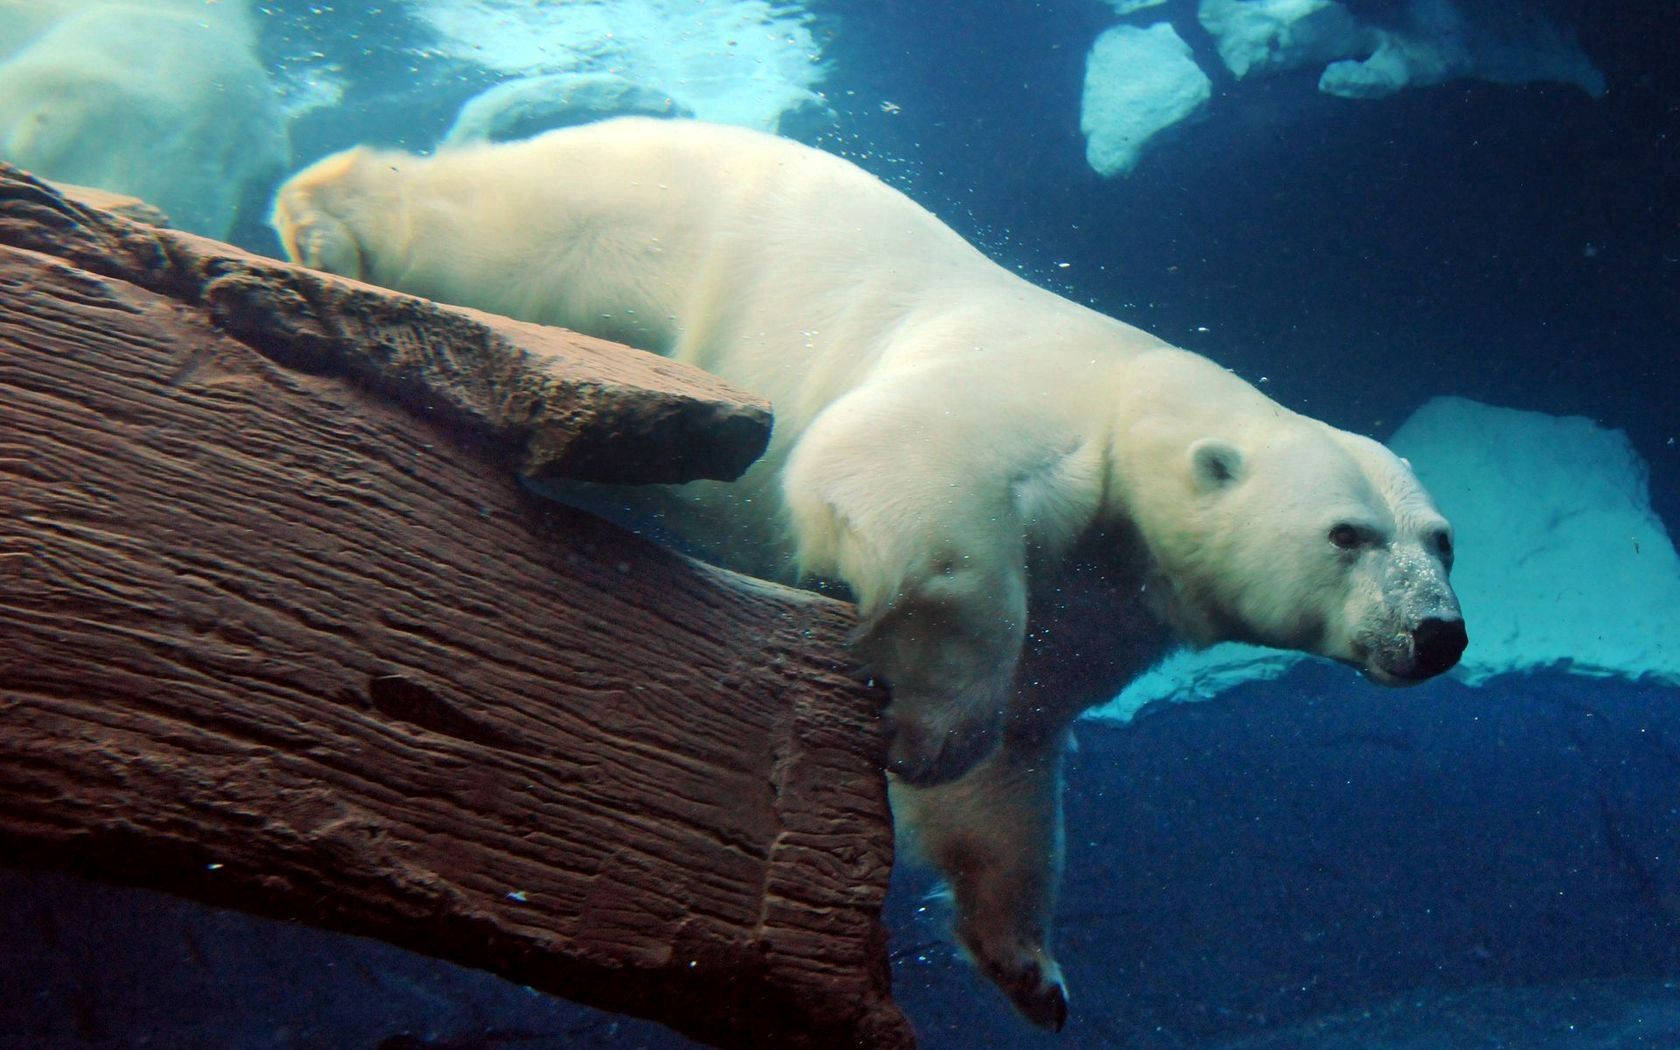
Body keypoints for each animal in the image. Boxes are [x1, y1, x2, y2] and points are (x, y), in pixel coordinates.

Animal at [268, 118, 1464, 1028]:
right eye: (1349, 535)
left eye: (1442, 540)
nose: (1438, 635)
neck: (1140, 404)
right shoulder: (1041, 404)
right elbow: (901, 467)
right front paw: (930, 725)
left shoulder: (1109, 599)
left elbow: (1019, 762)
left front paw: (1033, 970)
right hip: (631, 216)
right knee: (484, 225)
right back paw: (324, 216)